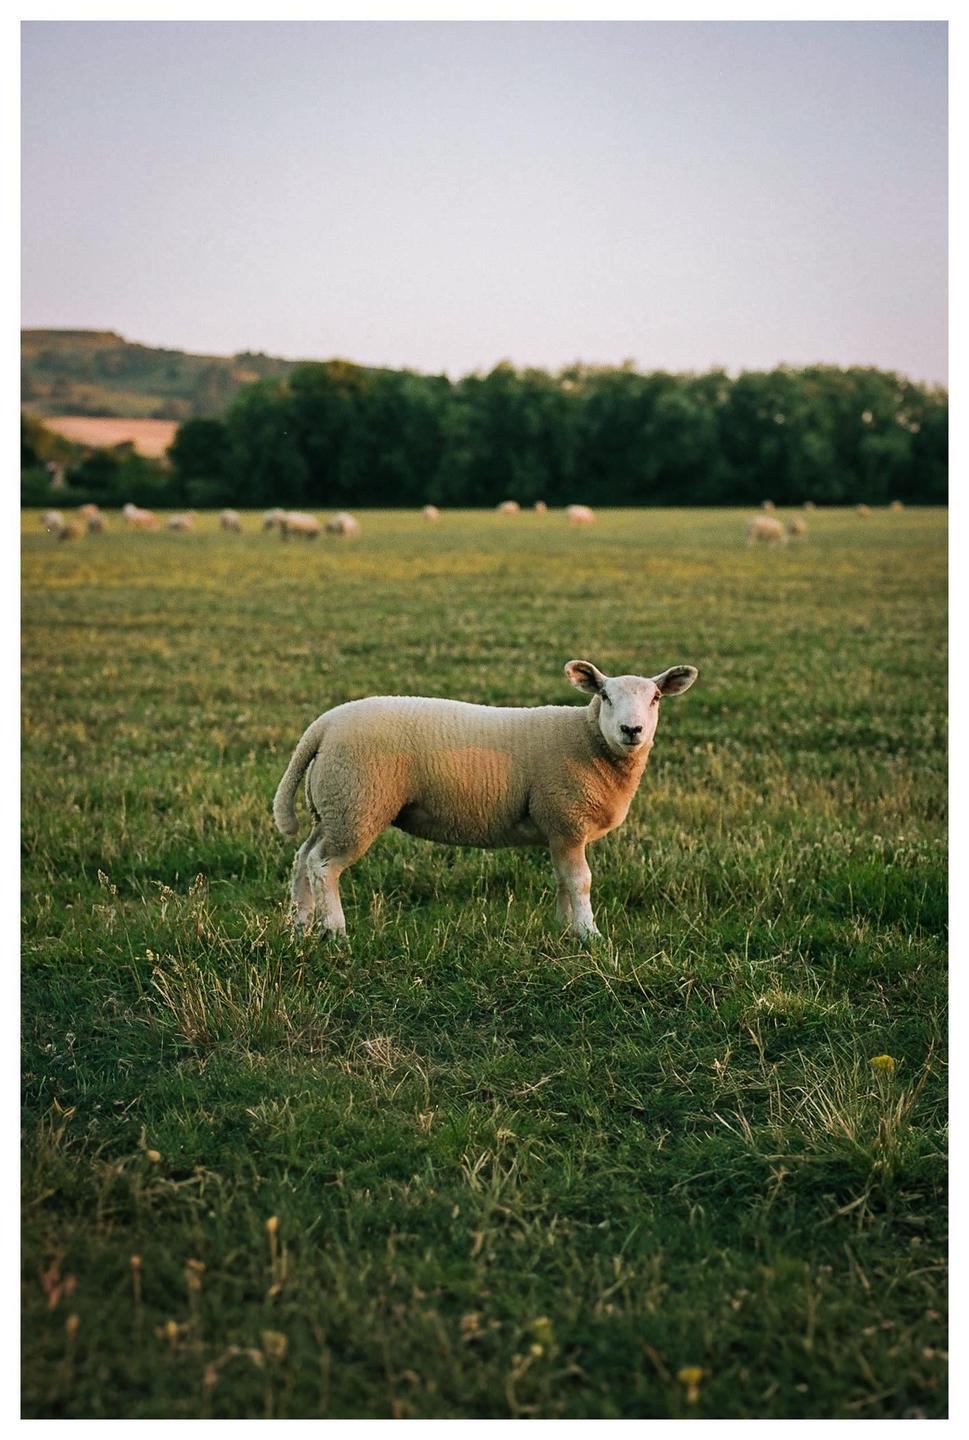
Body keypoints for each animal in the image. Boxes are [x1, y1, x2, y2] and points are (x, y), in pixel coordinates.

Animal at [273, 658, 698, 939]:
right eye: (606, 696)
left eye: (656, 697)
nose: (632, 730)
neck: (586, 738)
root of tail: (322, 726)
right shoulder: (567, 818)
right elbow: (580, 882)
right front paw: (589, 935)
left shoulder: (560, 829)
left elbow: (563, 880)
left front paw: (564, 929)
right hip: (357, 805)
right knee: (323, 865)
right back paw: (335, 931)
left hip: (332, 808)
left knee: (302, 858)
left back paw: (300, 926)